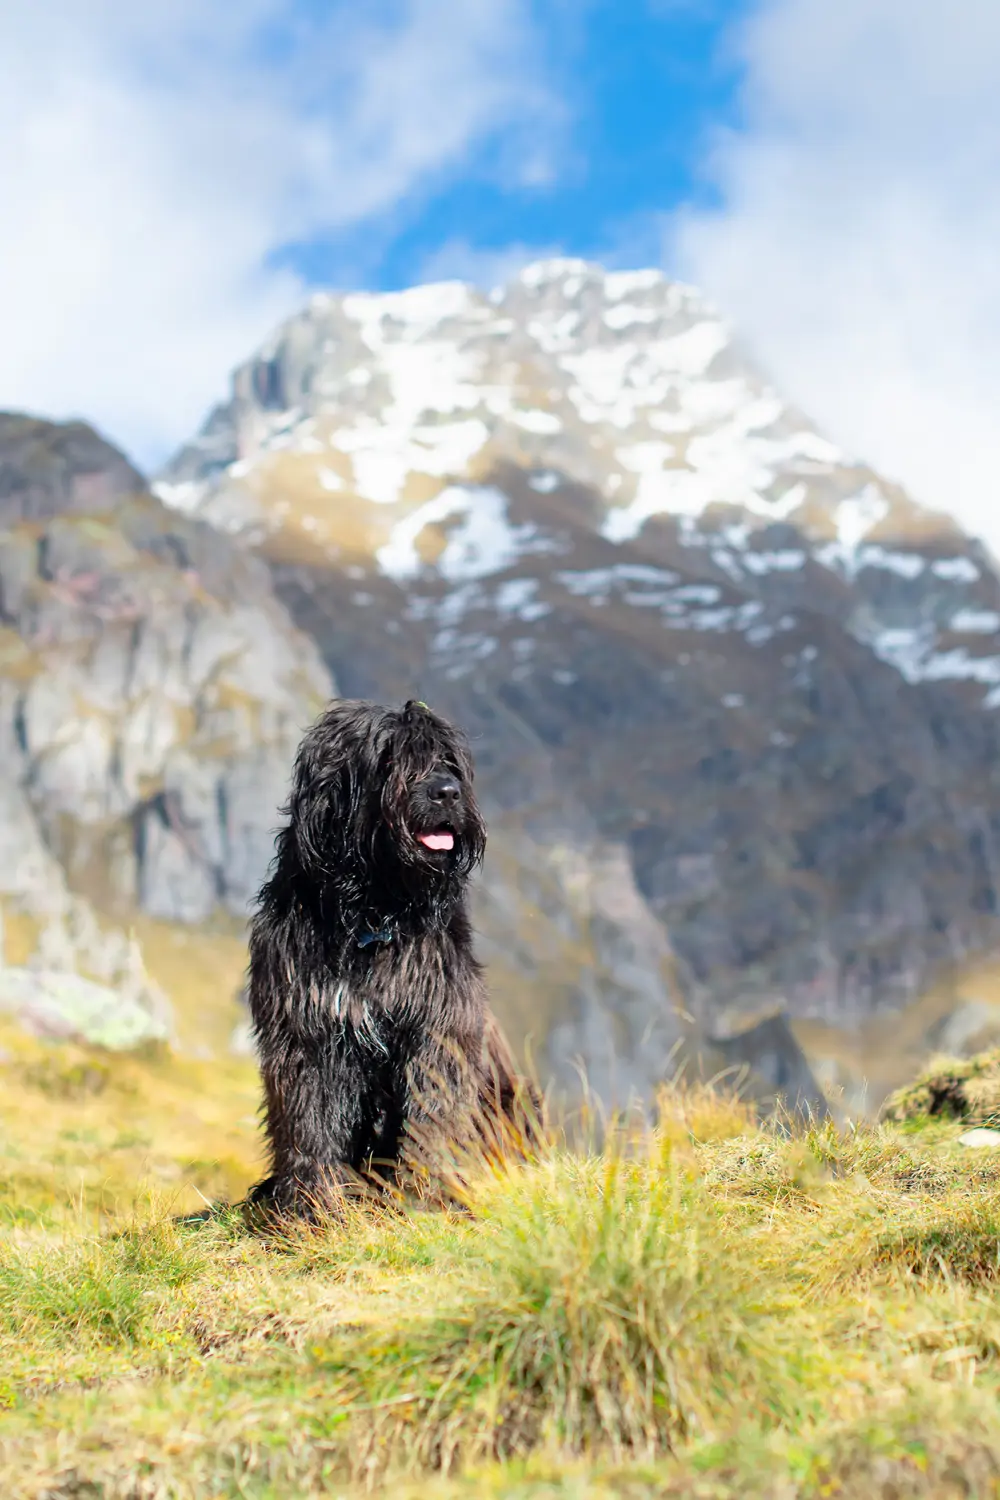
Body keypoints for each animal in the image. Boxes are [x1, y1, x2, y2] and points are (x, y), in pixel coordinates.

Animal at [245, 693, 536, 1218]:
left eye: (447, 760)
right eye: (389, 757)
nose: (447, 793)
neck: (373, 913)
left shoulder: (437, 1022)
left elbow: (433, 1109)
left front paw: (427, 1192)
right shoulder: (306, 1028)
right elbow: (309, 1118)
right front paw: (311, 1205)